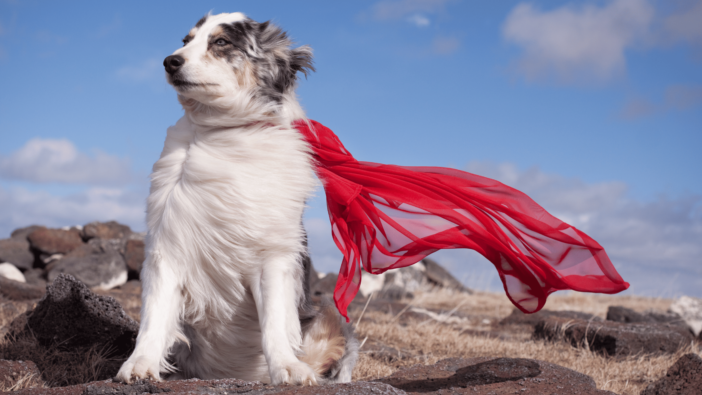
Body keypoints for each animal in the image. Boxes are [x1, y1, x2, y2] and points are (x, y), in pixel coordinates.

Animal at [117, 12, 358, 386]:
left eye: (221, 42)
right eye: (186, 40)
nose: (170, 61)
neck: (224, 132)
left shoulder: (272, 255)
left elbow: (275, 322)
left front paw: (287, 367)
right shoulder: (167, 246)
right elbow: (154, 318)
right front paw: (139, 365)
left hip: (330, 314)